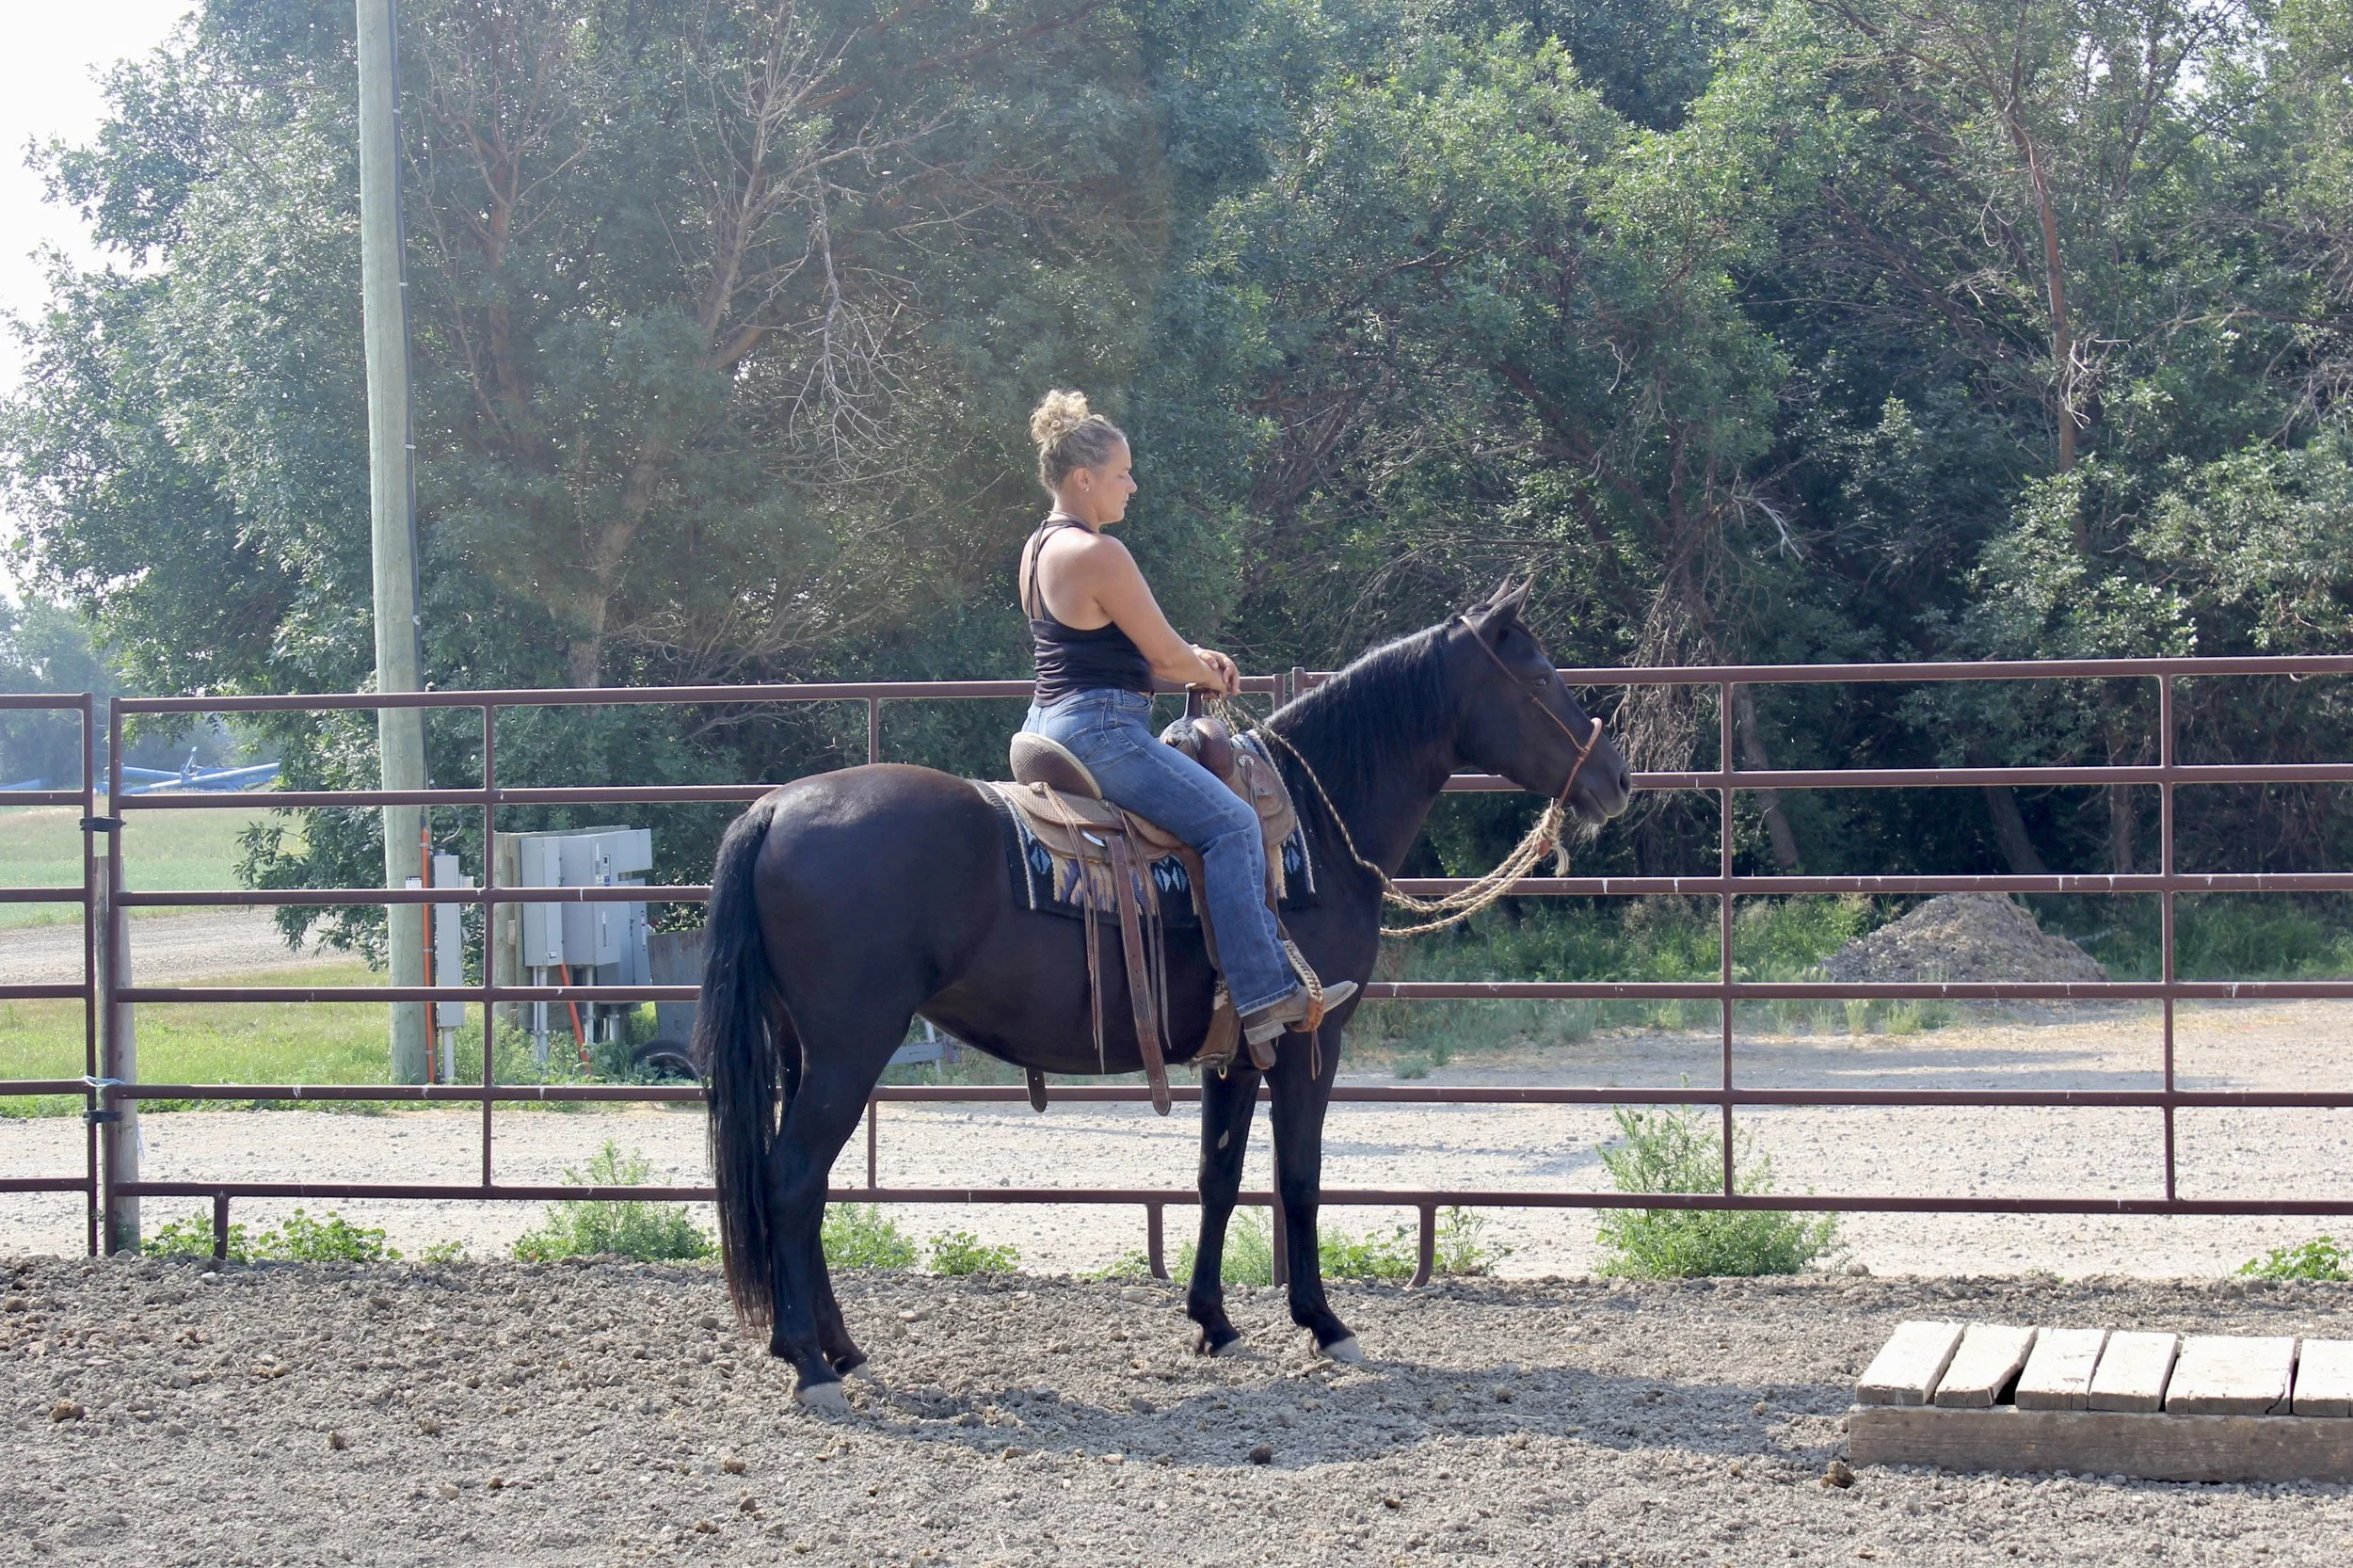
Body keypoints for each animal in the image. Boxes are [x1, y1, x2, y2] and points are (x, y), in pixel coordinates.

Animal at [693, 580, 1632, 1408]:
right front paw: (1326, 1324)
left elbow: (1218, 1175)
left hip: (805, 1050)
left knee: (804, 1188)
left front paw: (1213, 1322)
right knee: (791, 1181)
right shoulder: (1311, 1039)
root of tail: (772, 811)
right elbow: (1299, 1179)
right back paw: (811, 1365)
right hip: (850, 1050)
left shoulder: (1236, 1050)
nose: (1616, 780)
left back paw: (837, 1347)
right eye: (1540, 677)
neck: (1311, 831)